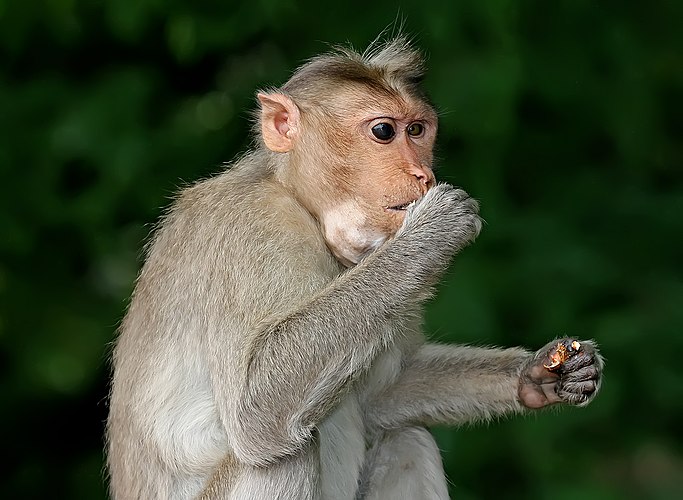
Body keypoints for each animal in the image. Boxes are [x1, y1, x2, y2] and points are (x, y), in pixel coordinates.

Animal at [107, 37, 604, 498]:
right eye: (384, 131)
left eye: (418, 130)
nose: (422, 175)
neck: (304, 206)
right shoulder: (250, 229)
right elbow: (255, 404)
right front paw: (433, 230)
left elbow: (381, 395)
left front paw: (538, 374)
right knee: (282, 453)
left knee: (407, 441)